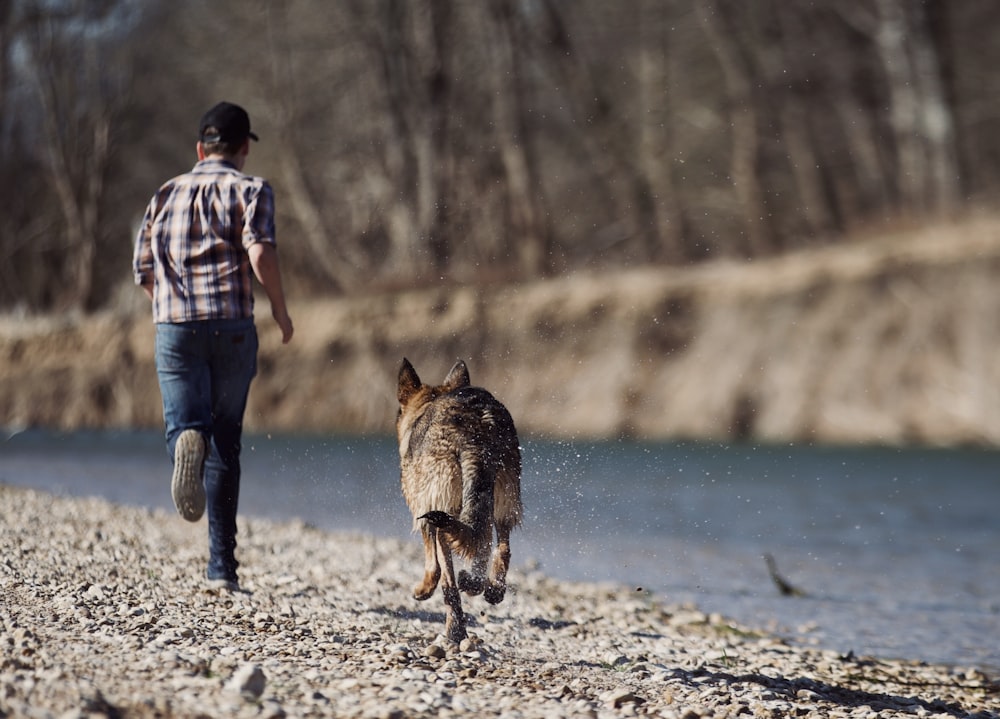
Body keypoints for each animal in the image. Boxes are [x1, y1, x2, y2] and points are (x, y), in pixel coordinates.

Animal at [396, 358, 528, 644]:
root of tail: (477, 424)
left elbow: (434, 565)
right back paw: (487, 588)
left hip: (442, 502)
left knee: (449, 577)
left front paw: (424, 589)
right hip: (504, 491)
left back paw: (454, 630)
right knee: (496, 544)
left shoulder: (424, 506)